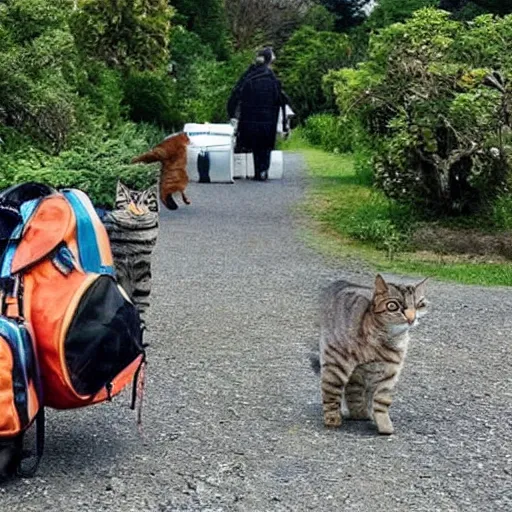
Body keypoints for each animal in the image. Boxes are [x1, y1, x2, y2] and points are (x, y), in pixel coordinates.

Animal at [316, 274, 428, 434]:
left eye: (419, 305)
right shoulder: (340, 362)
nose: (411, 318)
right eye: (393, 306)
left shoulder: (390, 372)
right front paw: (334, 417)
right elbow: (333, 390)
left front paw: (383, 424)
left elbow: (381, 401)